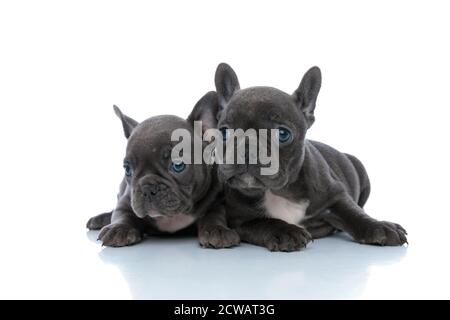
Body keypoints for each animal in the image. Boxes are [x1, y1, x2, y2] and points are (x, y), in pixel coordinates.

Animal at [85, 91, 239, 249]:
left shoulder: (215, 202)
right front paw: (118, 229)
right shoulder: (127, 201)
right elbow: (122, 213)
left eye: (178, 165)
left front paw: (217, 230)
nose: (147, 188)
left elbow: (214, 215)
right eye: (128, 170)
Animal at [206, 63, 410, 252]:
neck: (278, 191)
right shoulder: (240, 220)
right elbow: (264, 222)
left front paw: (380, 226)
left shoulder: (335, 195)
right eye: (224, 132)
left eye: (283, 134)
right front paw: (286, 231)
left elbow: (354, 213)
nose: (247, 148)